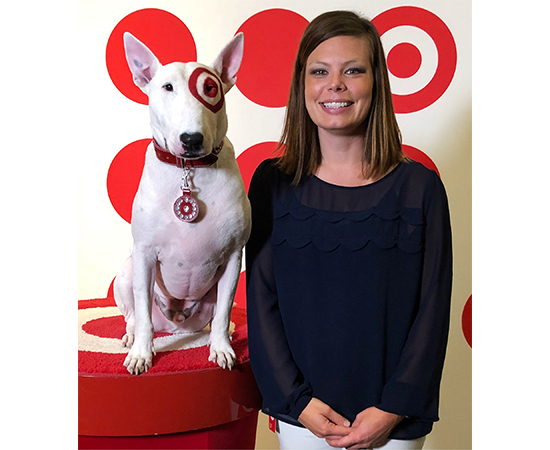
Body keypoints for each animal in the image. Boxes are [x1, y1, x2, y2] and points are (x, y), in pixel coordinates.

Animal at [114, 31, 252, 374]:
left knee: (216, 318)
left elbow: (224, 312)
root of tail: (176, 326)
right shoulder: (145, 253)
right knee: (135, 315)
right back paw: (131, 336)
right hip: (127, 273)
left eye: (210, 88)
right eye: (167, 87)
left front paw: (222, 349)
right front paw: (142, 355)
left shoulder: (234, 257)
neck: (189, 169)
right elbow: (143, 315)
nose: (192, 140)